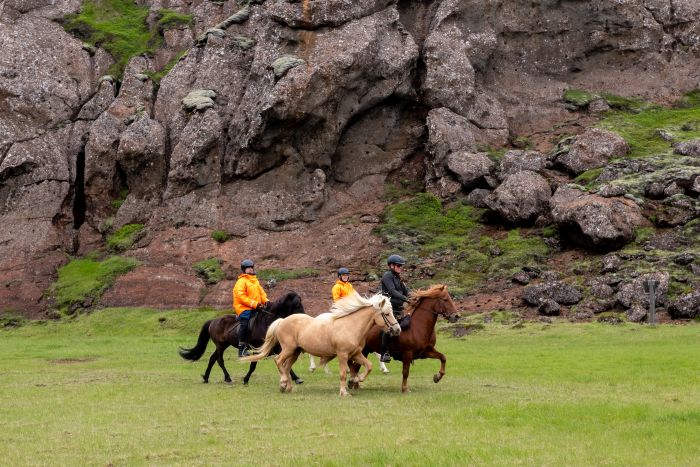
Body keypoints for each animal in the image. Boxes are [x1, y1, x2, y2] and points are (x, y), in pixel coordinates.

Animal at [245, 294, 400, 396]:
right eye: (387, 313)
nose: (397, 329)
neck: (350, 326)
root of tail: (282, 320)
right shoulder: (343, 355)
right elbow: (343, 373)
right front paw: (344, 392)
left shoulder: (356, 354)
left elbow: (369, 366)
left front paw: (356, 379)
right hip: (288, 349)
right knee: (278, 361)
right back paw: (283, 383)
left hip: (295, 352)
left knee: (287, 367)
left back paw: (287, 388)